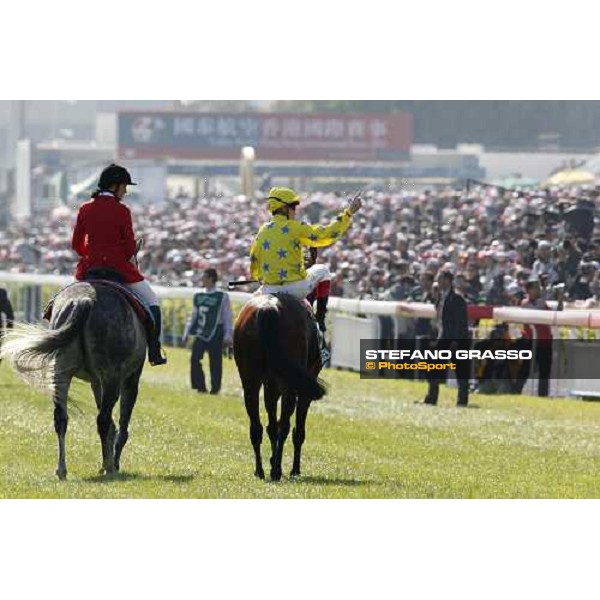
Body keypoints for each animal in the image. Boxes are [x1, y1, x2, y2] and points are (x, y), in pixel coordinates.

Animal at [0, 276, 148, 478]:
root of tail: (84, 301)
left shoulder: (96, 381)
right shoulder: (129, 379)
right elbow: (121, 424)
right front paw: (113, 463)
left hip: (61, 372)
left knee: (61, 418)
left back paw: (62, 469)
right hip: (111, 376)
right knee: (102, 420)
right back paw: (109, 468)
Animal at [234, 292, 328, 480]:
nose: (321, 321)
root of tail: (267, 309)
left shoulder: (270, 386)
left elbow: (271, 425)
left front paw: (272, 460)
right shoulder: (304, 388)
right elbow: (297, 430)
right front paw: (294, 470)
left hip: (250, 380)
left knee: (256, 427)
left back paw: (260, 471)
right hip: (289, 386)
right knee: (284, 426)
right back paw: (276, 471)